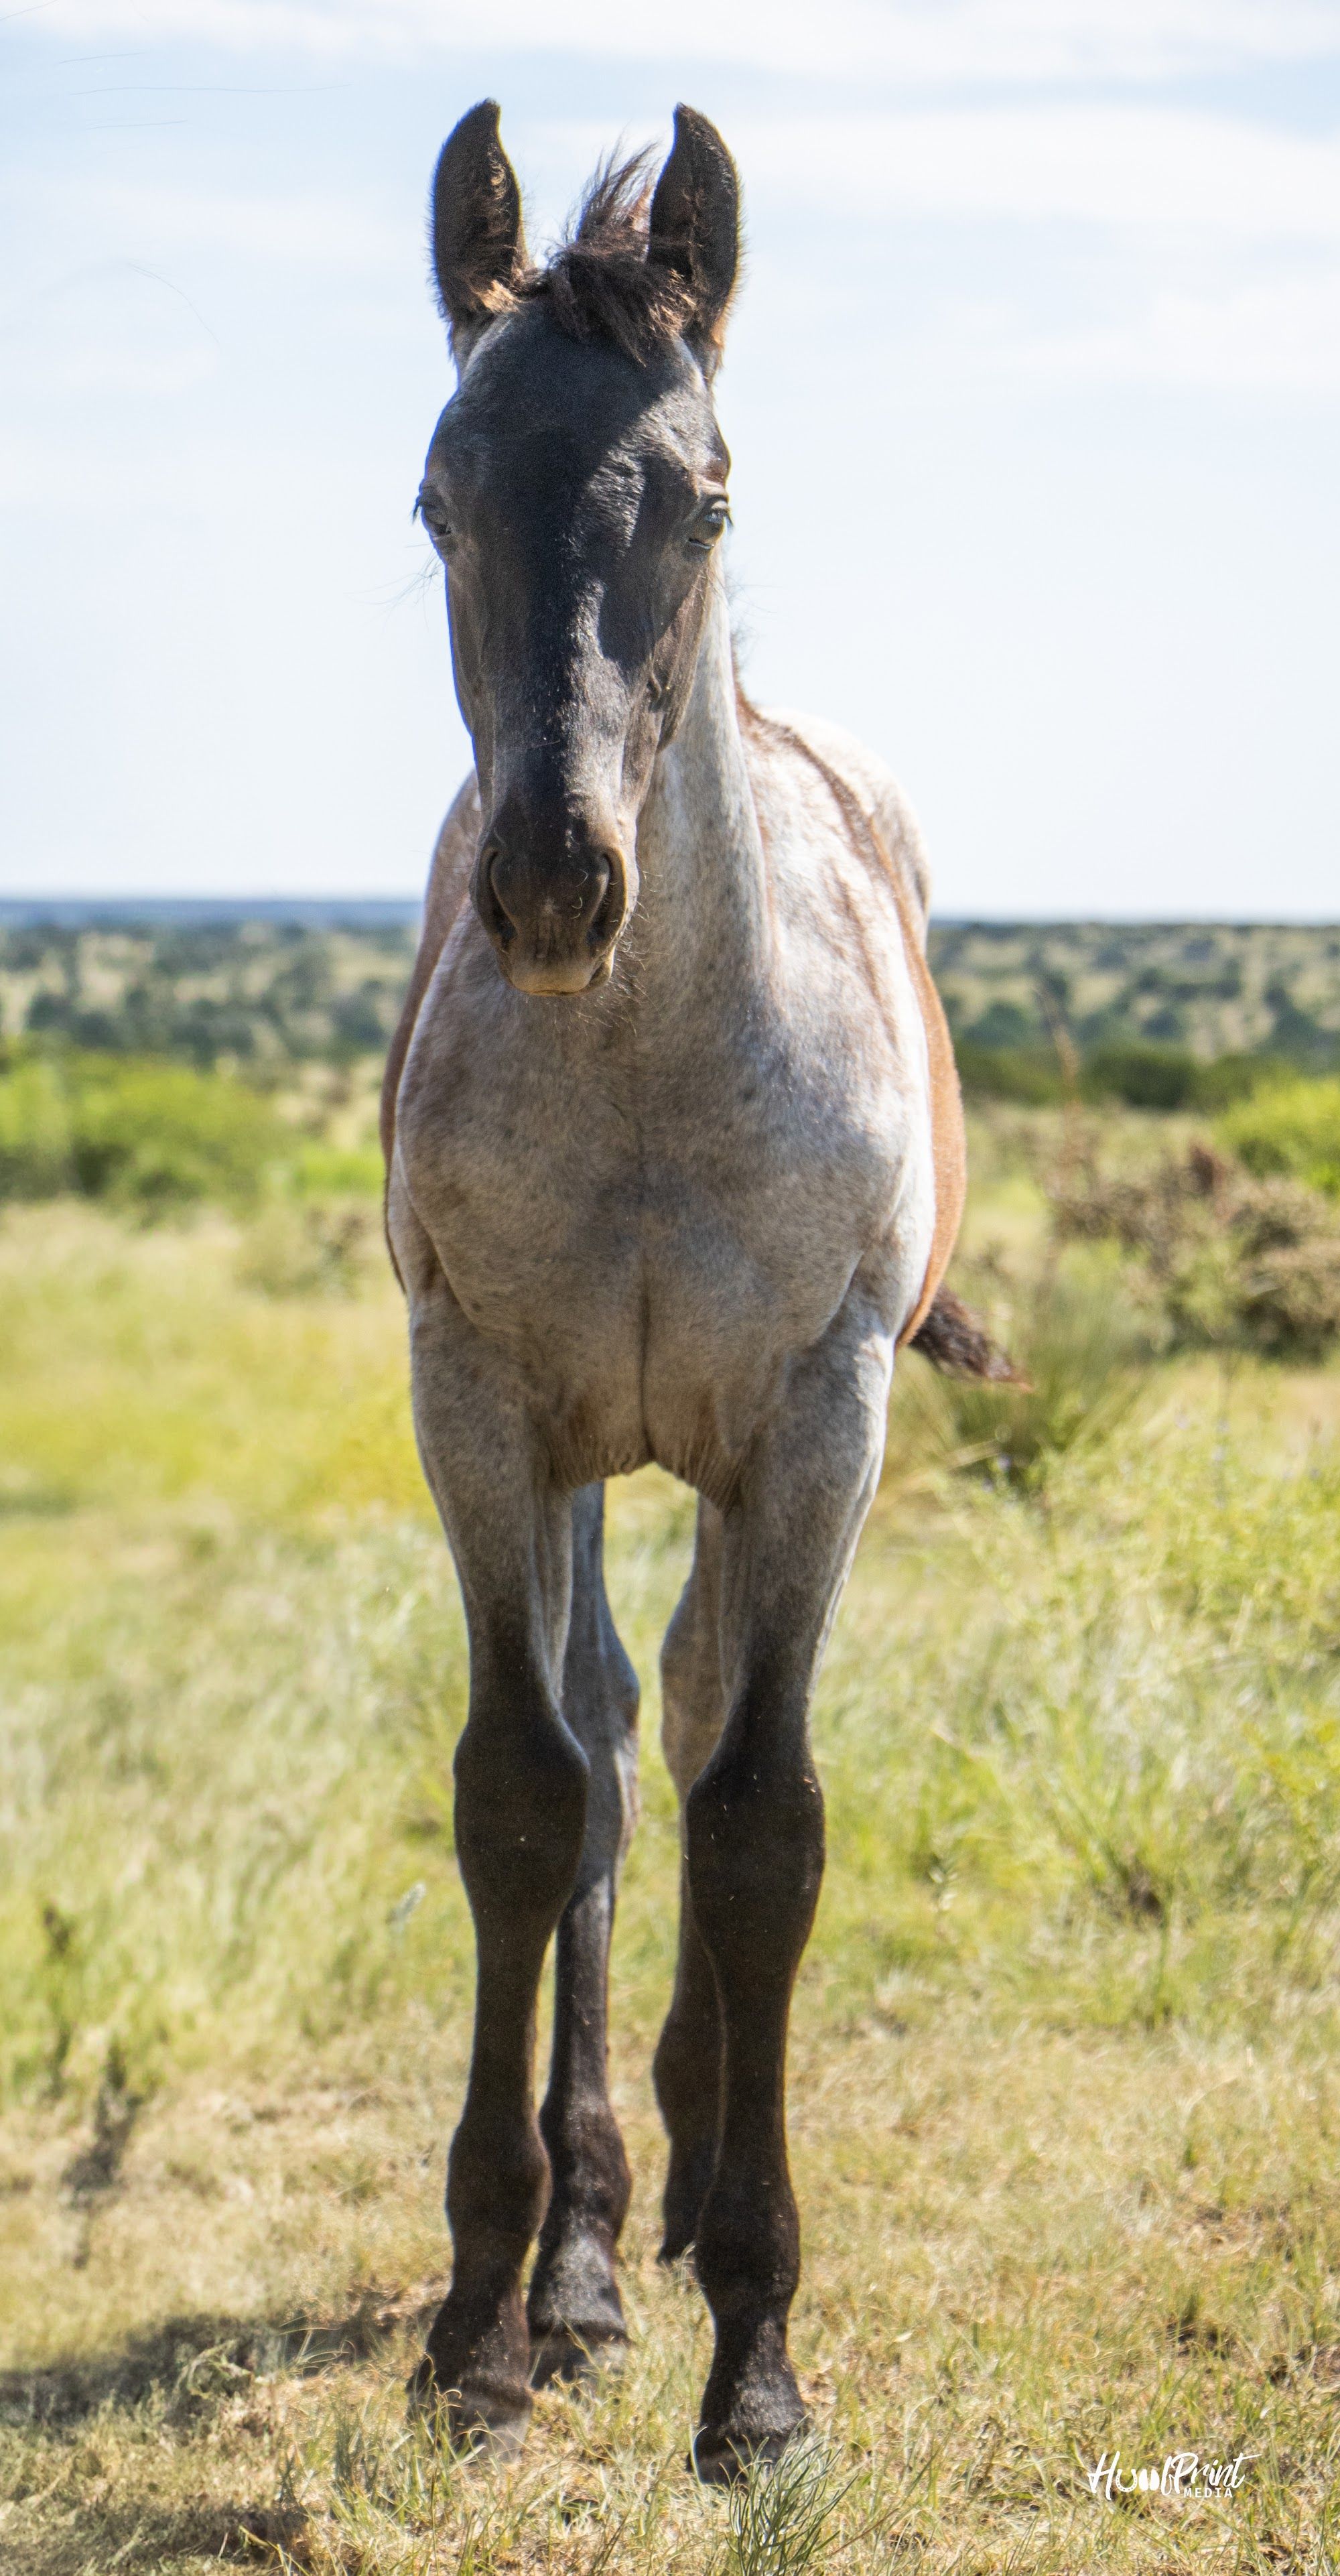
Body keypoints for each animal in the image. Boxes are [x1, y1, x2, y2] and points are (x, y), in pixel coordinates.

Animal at [382, 100, 1003, 2480]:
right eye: (442, 495)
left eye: (706, 496)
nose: (559, 880)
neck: (650, 1065)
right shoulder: (478, 1402)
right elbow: (530, 1792)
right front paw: (484, 2307)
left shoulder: (819, 1421)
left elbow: (770, 1828)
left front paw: (761, 2366)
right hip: (582, 1461)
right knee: (614, 1734)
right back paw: (580, 2245)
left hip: (747, 1465)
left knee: (713, 1708)